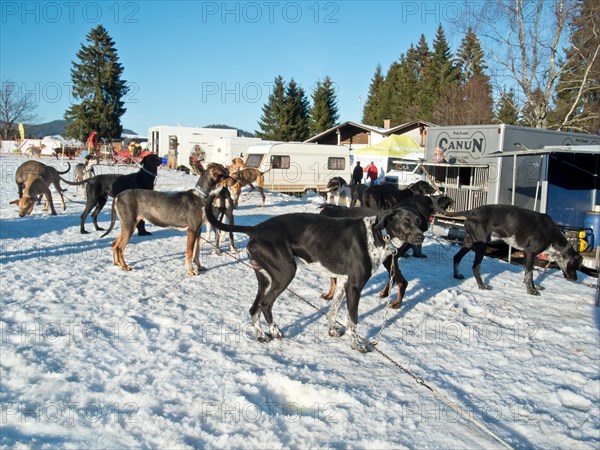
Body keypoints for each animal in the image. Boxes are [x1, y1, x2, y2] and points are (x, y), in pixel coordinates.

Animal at [204, 190, 424, 352]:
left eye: (419, 221)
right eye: (405, 221)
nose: (421, 237)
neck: (379, 234)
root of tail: (256, 228)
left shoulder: (343, 282)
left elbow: (333, 311)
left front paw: (332, 332)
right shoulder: (355, 286)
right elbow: (352, 320)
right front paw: (356, 344)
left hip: (266, 279)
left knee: (254, 308)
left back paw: (260, 335)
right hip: (285, 273)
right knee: (266, 304)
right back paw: (275, 332)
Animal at [450, 205, 580, 296]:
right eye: (576, 265)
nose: (575, 279)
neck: (552, 235)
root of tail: (471, 212)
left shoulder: (527, 255)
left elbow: (529, 274)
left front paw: (534, 287)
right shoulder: (530, 253)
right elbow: (530, 274)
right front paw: (531, 291)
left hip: (469, 243)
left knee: (457, 257)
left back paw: (457, 275)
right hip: (482, 246)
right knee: (475, 267)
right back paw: (482, 285)